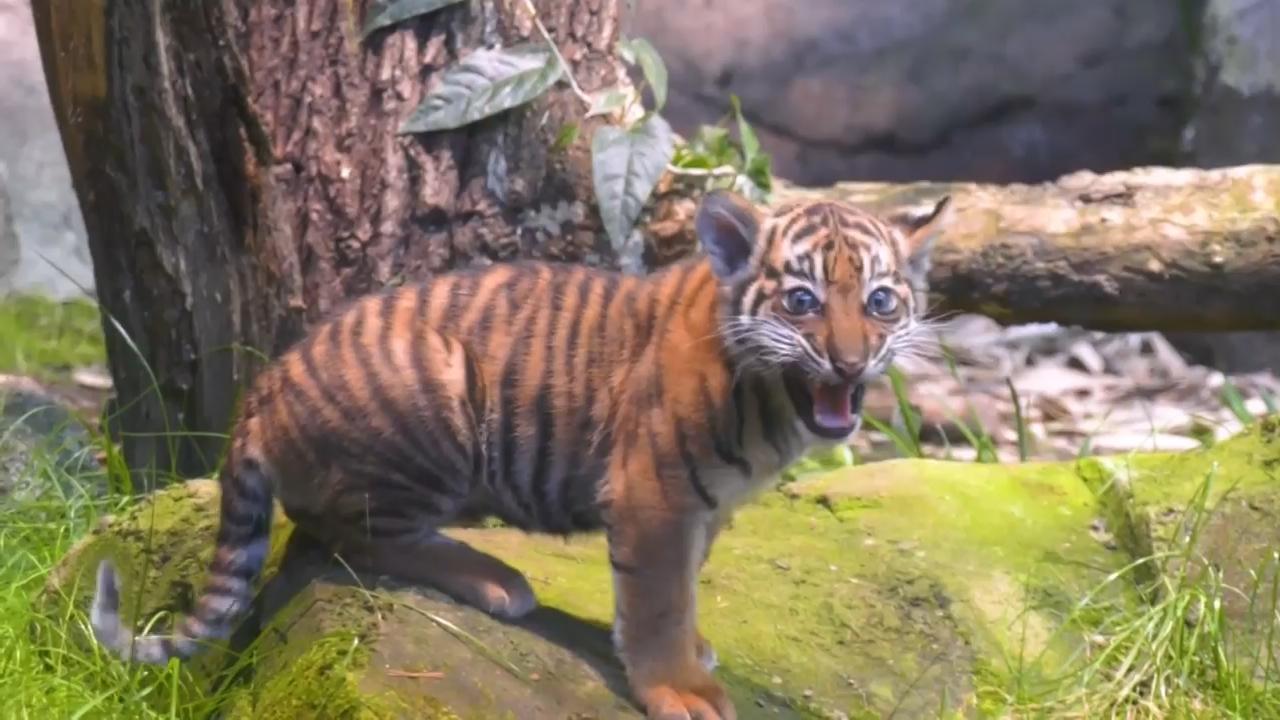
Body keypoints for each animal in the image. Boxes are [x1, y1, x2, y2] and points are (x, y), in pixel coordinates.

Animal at [89, 188, 951, 720]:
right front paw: (680, 688)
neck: (775, 404)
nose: (849, 363)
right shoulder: (656, 495)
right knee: (345, 532)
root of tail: (264, 388)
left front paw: (696, 653)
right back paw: (494, 579)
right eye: (802, 302)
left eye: (880, 302)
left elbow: (685, 588)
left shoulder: (705, 509)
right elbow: (659, 600)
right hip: (434, 398)